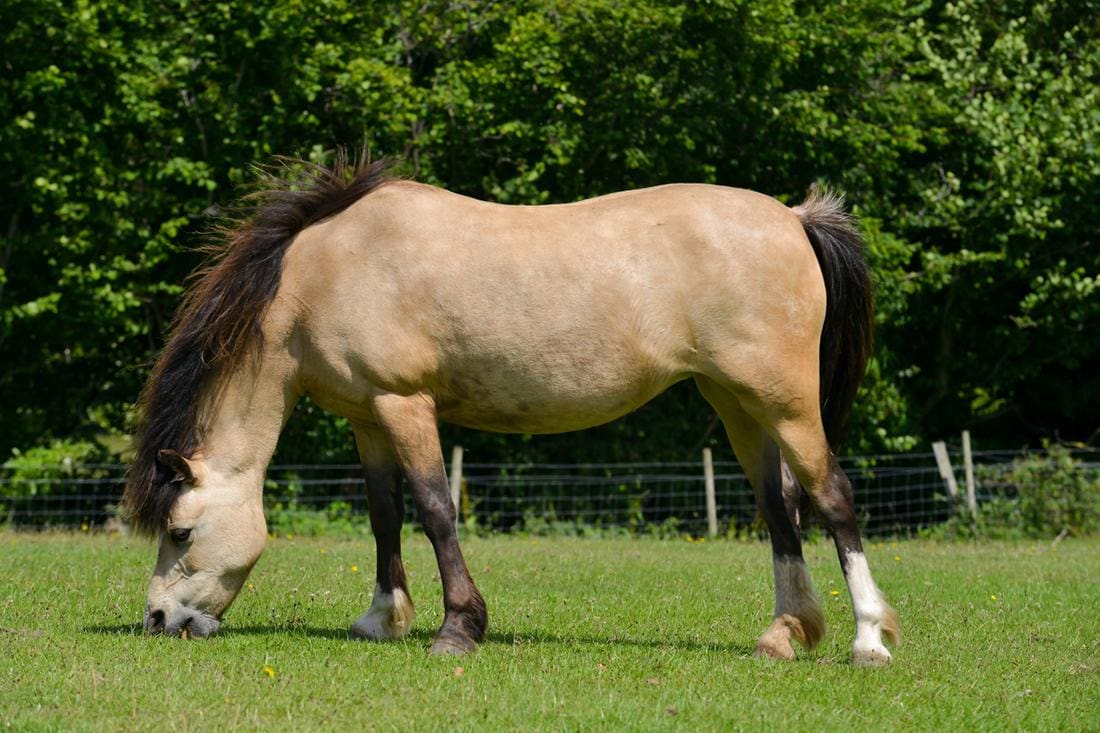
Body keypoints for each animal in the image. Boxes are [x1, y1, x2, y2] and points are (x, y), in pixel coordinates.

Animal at [124, 152, 898, 666]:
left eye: (182, 531)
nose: (158, 617)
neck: (323, 274)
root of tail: (794, 218)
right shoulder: (368, 417)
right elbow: (384, 514)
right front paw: (381, 619)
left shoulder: (405, 403)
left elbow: (435, 508)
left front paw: (457, 629)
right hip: (739, 404)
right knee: (778, 508)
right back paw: (784, 633)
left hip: (786, 403)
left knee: (833, 495)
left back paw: (868, 638)